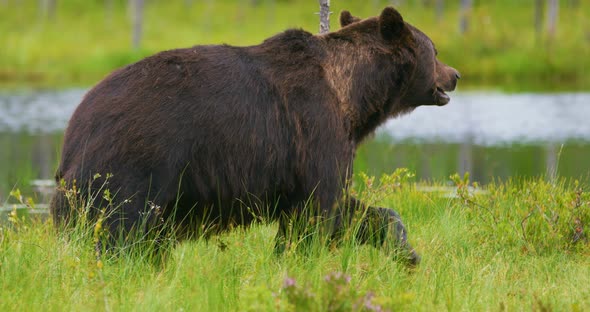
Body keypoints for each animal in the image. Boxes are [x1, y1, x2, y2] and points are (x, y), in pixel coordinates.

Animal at [51, 6, 460, 266]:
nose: (454, 74)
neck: (355, 97)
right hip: (135, 161)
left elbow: (346, 207)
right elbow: (318, 206)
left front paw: (407, 251)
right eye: (436, 50)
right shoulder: (314, 128)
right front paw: (293, 258)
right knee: (120, 227)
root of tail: (75, 127)